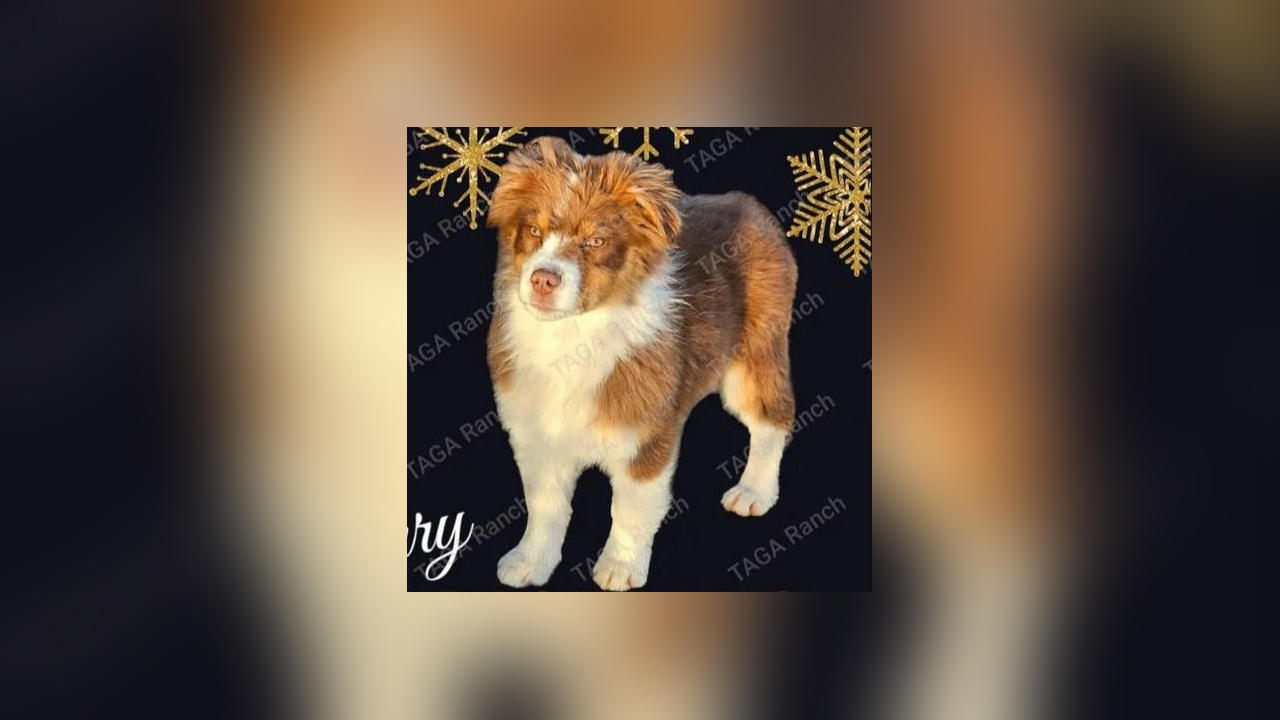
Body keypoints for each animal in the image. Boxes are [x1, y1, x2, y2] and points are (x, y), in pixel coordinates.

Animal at [485, 136, 797, 590]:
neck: (572, 337)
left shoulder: (646, 434)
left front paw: (620, 566)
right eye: (534, 231)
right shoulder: (537, 433)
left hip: (754, 355)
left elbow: (631, 508)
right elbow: (545, 506)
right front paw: (530, 561)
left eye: (595, 242)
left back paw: (754, 491)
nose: (543, 279)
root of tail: (749, 204)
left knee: (772, 419)